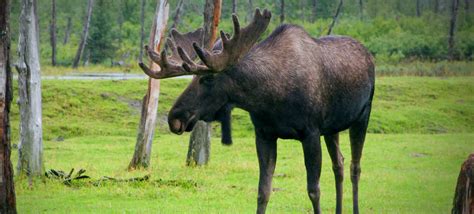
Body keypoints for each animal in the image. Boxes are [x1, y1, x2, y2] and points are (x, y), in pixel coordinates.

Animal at [139, 8, 376, 214]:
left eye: (208, 78)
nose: (174, 117)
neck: (269, 98)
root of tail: (369, 56)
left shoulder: (310, 133)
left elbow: (313, 190)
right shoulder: (264, 134)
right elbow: (263, 192)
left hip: (362, 116)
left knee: (355, 167)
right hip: (332, 128)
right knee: (339, 164)